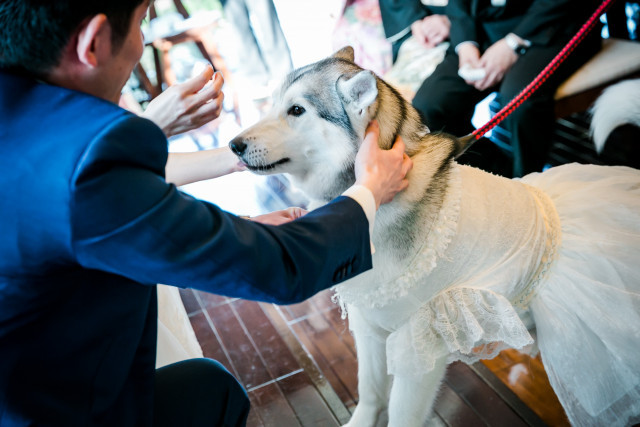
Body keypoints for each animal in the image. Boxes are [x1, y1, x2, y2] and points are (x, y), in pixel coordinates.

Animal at [230, 47, 640, 427]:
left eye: (297, 110)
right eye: (272, 103)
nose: (234, 145)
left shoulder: (421, 345)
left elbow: (400, 413)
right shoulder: (369, 327)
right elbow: (370, 391)